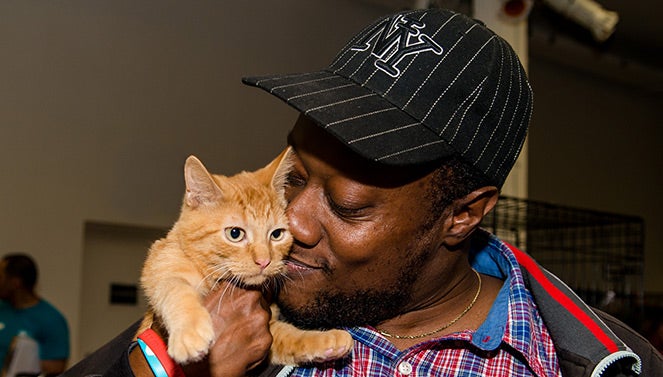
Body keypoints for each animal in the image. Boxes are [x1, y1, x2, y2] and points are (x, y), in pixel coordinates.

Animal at [138, 148, 356, 364]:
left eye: (277, 234)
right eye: (235, 233)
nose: (264, 261)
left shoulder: (270, 330)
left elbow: (291, 336)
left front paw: (327, 339)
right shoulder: (161, 267)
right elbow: (177, 290)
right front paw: (190, 332)